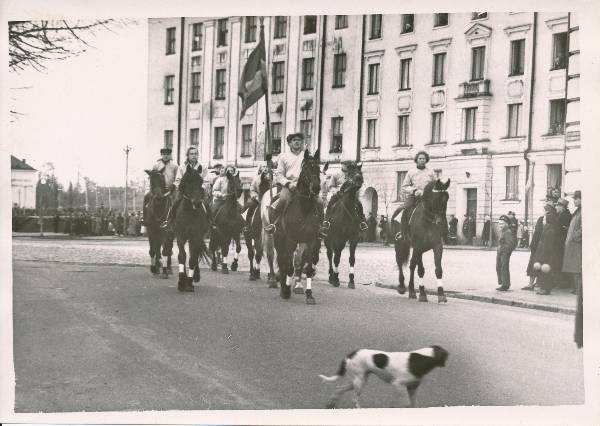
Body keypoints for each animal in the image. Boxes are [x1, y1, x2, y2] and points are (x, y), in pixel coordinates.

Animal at [274, 148, 326, 304]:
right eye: (307, 169)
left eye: (318, 169)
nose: (316, 188)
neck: (303, 209)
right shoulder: (291, 240)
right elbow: (289, 267)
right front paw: (286, 290)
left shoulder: (311, 241)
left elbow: (308, 268)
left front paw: (309, 295)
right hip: (279, 240)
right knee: (282, 262)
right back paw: (282, 288)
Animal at [324, 162, 366, 290]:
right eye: (351, 174)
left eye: (360, 172)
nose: (359, 178)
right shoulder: (337, 238)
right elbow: (336, 258)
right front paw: (336, 279)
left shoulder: (353, 238)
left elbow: (352, 259)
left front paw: (351, 280)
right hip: (328, 239)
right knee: (330, 255)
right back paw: (331, 275)